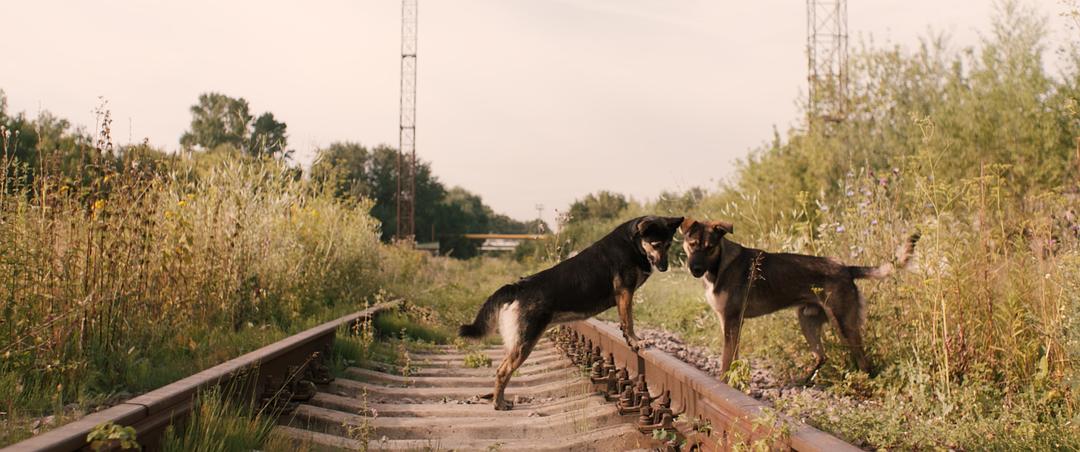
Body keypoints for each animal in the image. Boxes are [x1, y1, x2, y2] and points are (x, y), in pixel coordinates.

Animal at [457, 215, 678, 409]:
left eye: (668, 245)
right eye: (656, 244)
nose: (665, 267)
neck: (632, 242)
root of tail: (518, 287)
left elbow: (625, 322)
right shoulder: (624, 293)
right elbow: (628, 321)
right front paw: (635, 340)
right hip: (524, 344)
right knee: (503, 371)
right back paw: (498, 404)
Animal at [678, 218, 915, 379]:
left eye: (709, 248)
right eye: (692, 244)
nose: (695, 269)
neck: (718, 265)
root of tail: (847, 269)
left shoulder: (732, 320)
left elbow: (727, 359)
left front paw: (725, 382)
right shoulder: (728, 322)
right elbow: (732, 356)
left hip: (843, 325)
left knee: (863, 361)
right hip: (807, 320)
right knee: (822, 356)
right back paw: (803, 381)